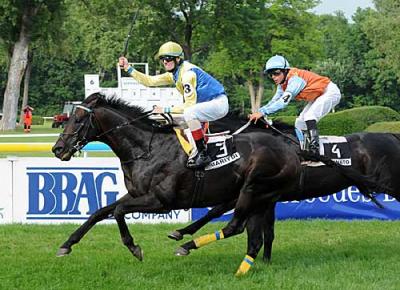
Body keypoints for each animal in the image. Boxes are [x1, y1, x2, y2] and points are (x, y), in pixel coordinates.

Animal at [52, 94, 384, 276]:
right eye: (65, 118)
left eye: (78, 120)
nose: (58, 149)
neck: (146, 147)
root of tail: (295, 150)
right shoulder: (137, 194)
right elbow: (100, 212)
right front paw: (66, 244)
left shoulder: (161, 200)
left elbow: (119, 212)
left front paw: (135, 248)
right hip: (259, 195)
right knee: (250, 229)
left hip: (255, 190)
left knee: (239, 225)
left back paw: (190, 245)